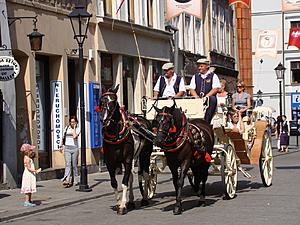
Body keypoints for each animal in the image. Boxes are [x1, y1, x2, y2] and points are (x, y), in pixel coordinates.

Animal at [100, 85, 152, 214]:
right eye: (101, 101)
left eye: (114, 101)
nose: (105, 120)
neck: (115, 134)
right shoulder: (110, 162)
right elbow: (115, 183)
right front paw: (119, 203)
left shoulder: (127, 160)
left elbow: (124, 182)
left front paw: (123, 206)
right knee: (132, 178)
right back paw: (132, 202)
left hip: (145, 155)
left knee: (146, 175)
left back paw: (144, 198)